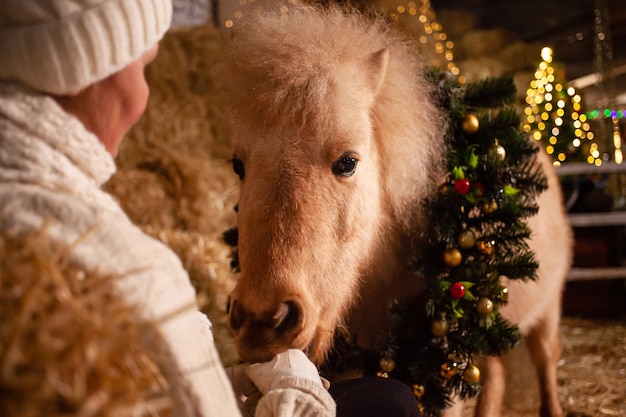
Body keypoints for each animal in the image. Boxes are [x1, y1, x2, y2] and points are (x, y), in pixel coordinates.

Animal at [219, 4, 572, 416]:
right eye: (238, 165)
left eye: (348, 162)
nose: (261, 322)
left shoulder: (444, 373)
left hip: (547, 310)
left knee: (545, 358)